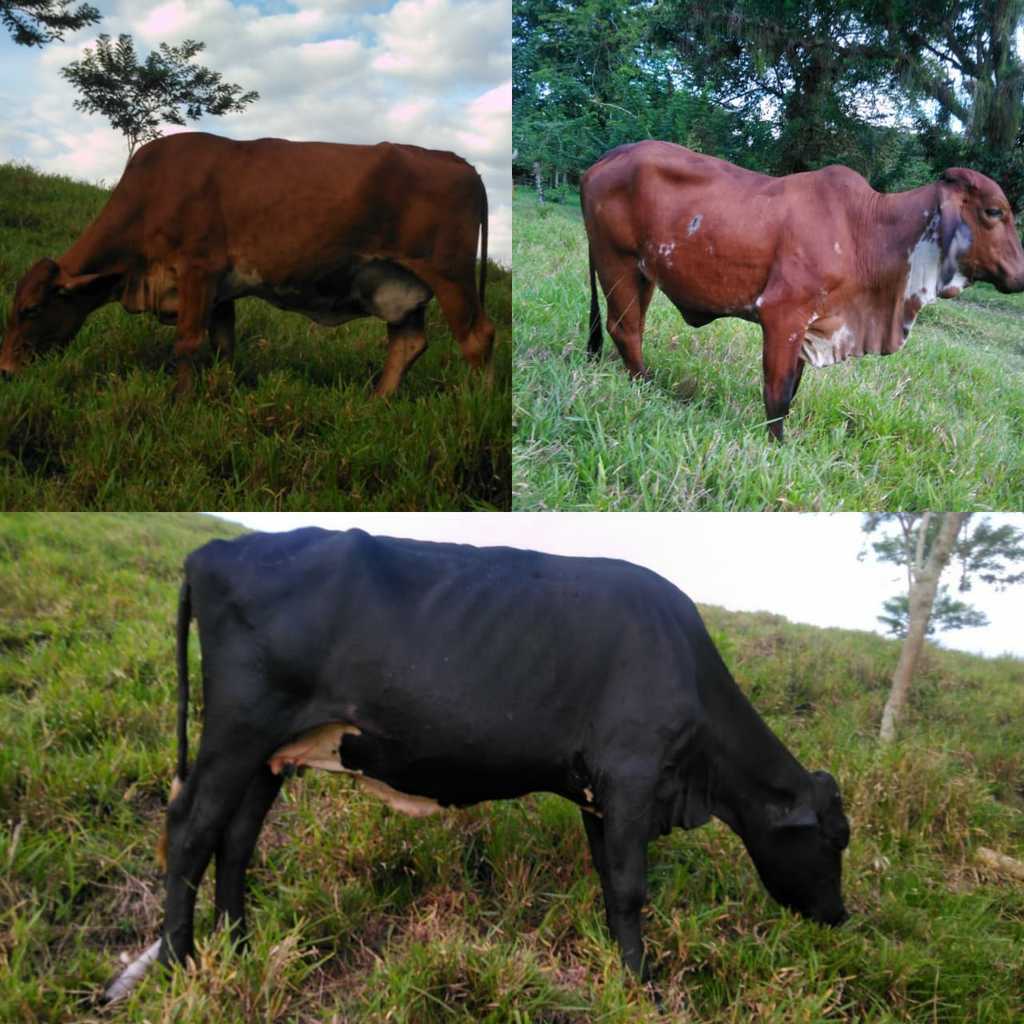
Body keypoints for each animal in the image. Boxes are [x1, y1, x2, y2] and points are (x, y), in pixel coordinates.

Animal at [0, 133, 494, 396]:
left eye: (30, 310)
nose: (5, 371)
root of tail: (459, 161)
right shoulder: (221, 292)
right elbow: (222, 345)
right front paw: (217, 391)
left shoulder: (198, 270)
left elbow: (187, 343)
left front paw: (178, 402)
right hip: (399, 285)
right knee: (408, 344)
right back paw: (377, 402)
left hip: (450, 275)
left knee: (477, 337)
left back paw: (478, 406)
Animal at [104, 527, 850, 1002]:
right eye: (835, 840)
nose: (841, 917)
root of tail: (218, 548)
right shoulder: (633, 775)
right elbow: (632, 887)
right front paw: (644, 987)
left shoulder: (600, 792)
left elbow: (611, 883)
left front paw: (623, 969)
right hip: (237, 731)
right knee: (192, 832)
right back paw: (181, 963)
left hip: (274, 750)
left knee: (236, 840)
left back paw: (237, 948)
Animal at [582, 141, 1024, 440]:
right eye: (994, 211)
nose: (1020, 275)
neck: (868, 231)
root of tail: (606, 158)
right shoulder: (782, 313)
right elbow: (777, 393)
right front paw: (776, 446)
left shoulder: (811, 323)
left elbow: (792, 388)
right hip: (616, 261)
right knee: (625, 329)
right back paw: (646, 387)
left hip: (643, 273)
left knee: (631, 327)